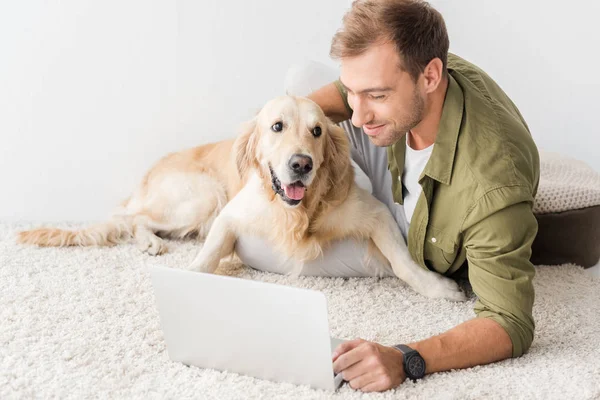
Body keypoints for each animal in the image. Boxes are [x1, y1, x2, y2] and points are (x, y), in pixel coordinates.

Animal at [14, 96, 464, 300]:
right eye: (277, 126)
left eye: (317, 131)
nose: (301, 164)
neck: (295, 212)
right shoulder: (229, 215)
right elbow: (208, 256)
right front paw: (191, 275)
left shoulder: (372, 213)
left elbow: (403, 262)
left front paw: (437, 287)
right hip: (202, 196)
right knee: (133, 217)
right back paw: (151, 242)